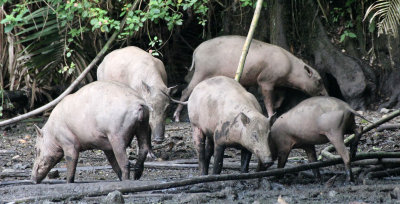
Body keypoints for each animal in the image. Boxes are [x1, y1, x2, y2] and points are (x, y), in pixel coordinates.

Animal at [174, 35, 328, 121]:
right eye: (319, 80)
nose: (327, 94)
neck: (290, 71)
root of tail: (195, 51)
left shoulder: (279, 82)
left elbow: (282, 95)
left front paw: (277, 107)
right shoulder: (265, 80)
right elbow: (267, 98)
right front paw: (271, 114)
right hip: (202, 71)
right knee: (186, 90)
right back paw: (176, 117)